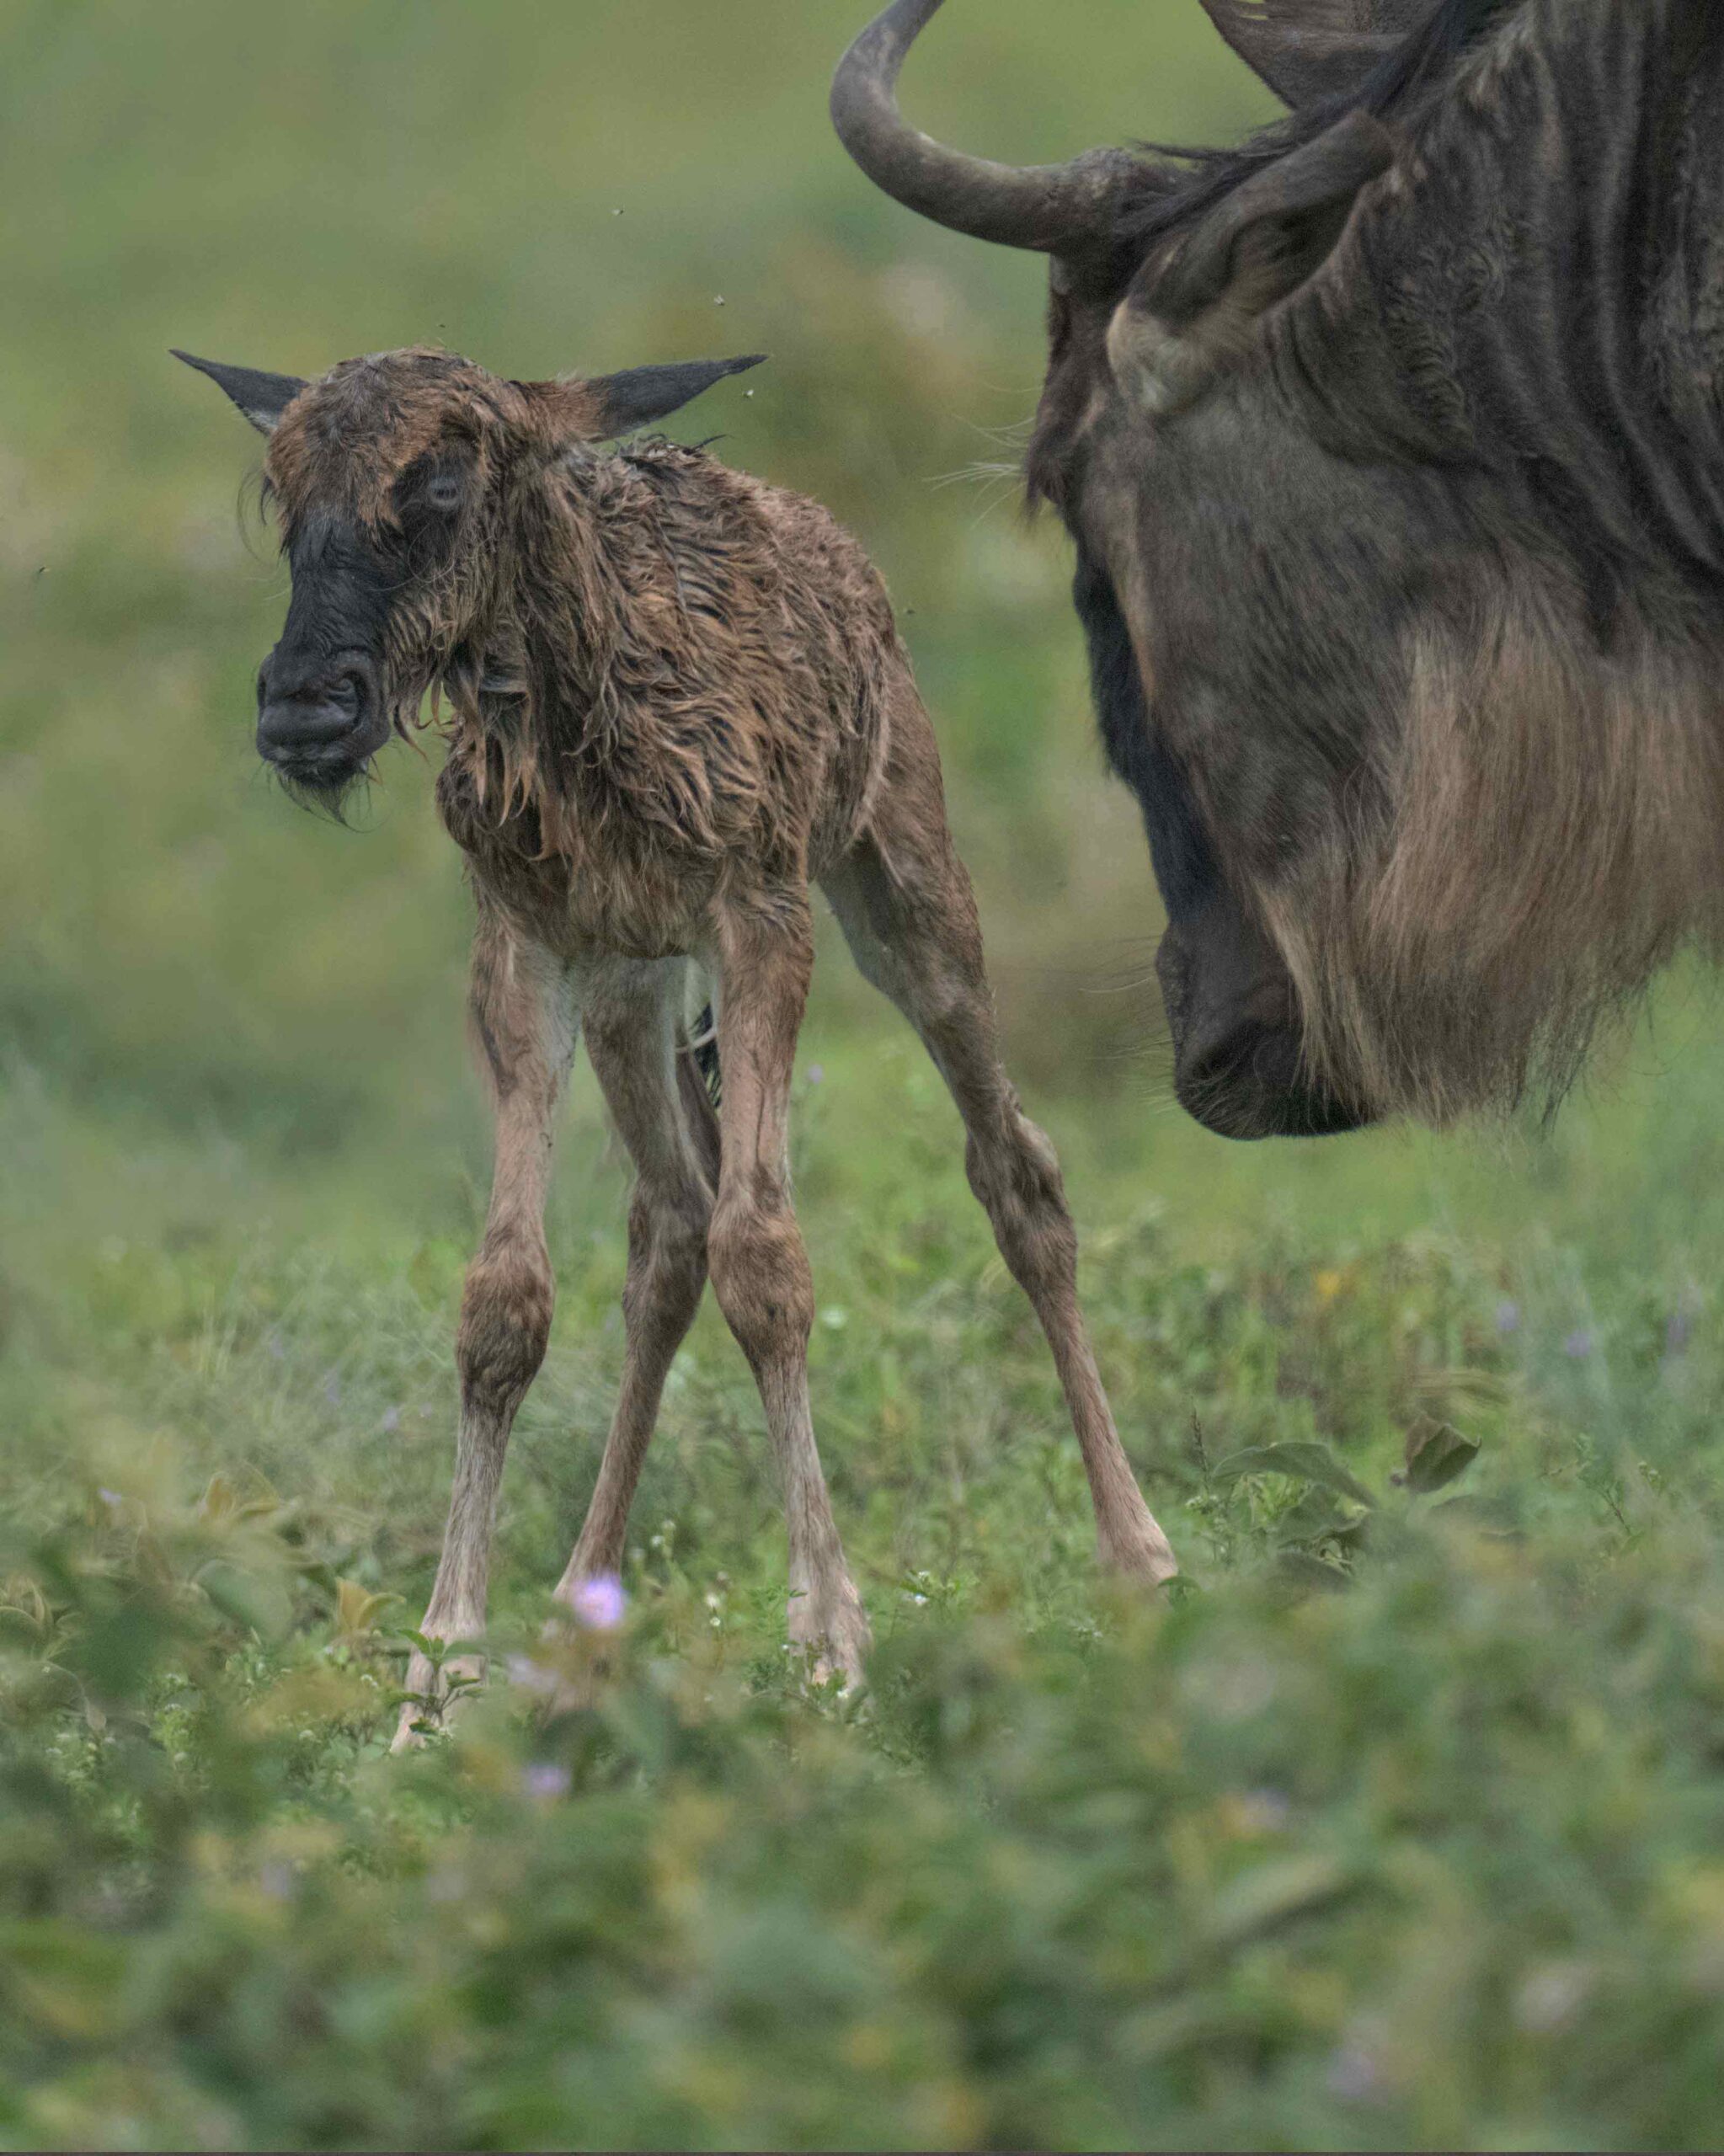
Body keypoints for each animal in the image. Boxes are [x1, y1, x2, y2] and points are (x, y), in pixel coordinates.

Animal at [179, 344, 1172, 1742]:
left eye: (440, 483)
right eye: (280, 493)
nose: (304, 708)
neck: (584, 720)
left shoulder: (758, 914)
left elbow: (771, 1261)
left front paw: (832, 1640)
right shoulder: (529, 945)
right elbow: (506, 1298)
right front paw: (436, 1677)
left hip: (902, 885)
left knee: (1012, 1169)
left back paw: (1138, 1559)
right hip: (632, 995)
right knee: (668, 1231)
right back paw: (574, 1621)